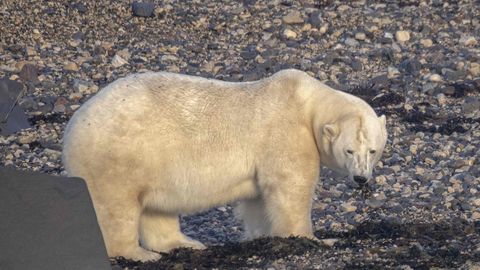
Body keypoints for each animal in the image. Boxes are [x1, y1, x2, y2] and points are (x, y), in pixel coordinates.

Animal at [62, 69, 388, 262]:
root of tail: (72, 129)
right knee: (116, 208)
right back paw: (138, 253)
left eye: (373, 150)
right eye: (349, 150)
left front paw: (261, 235)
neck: (306, 102)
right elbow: (290, 187)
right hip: (118, 157)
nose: (361, 179)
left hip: (153, 162)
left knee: (157, 207)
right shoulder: (287, 133)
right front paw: (313, 238)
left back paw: (186, 244)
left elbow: (259, 201)